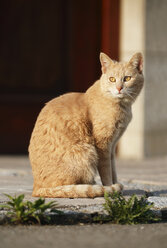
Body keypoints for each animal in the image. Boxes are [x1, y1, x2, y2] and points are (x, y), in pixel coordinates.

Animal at [28, 52, 144, 198]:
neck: (121, 106)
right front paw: (110, 189)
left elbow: (113, 170)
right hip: (86, 152)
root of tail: (35, 188)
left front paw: (116, 187)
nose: (119, 88)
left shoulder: (112, 146)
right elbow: (106, 172)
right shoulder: (103, 145)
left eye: (127, 78)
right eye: (112, 79)